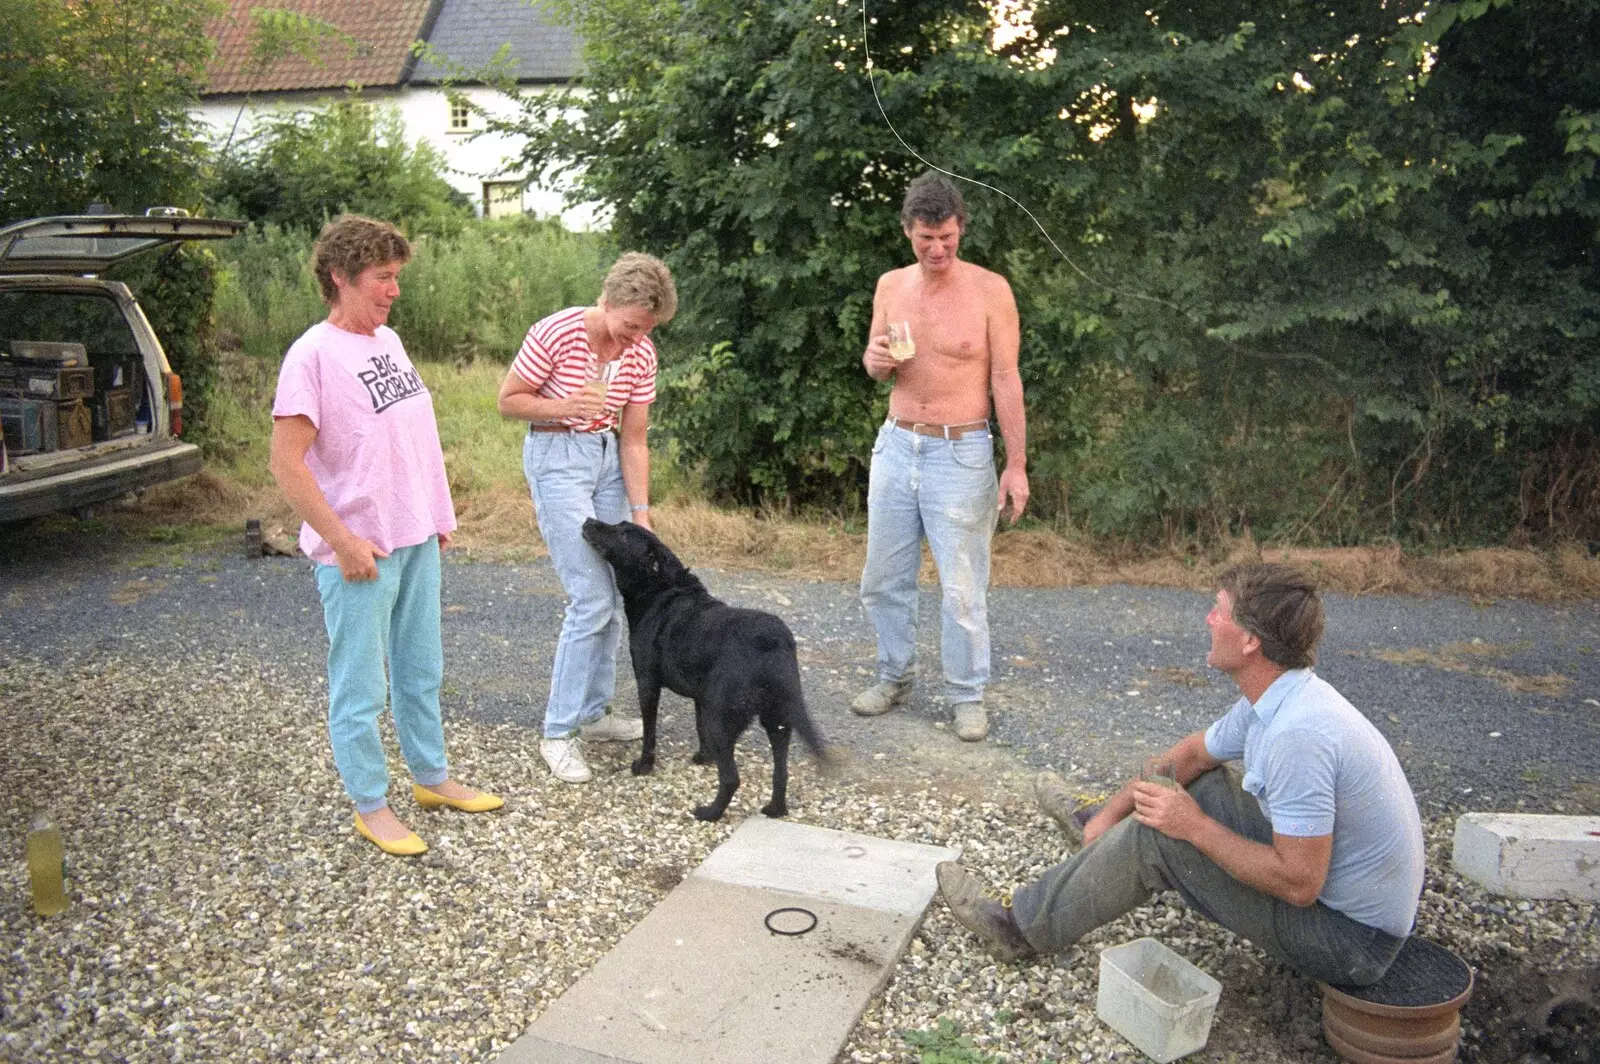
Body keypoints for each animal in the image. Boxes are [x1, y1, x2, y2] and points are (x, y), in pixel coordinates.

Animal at [579, 518, 825, 816]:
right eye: (620, 525)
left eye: (624, 534)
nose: (589, 520)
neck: (659, 589)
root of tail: (774, 642)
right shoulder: (700, 696)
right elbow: (698, 728)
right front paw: (704, 758)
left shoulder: (647, 682)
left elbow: (650, 732)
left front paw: (644, 766)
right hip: (777, 719)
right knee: (781, 772)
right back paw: (774, 809)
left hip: (721, 717)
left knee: (731, 778)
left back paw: (710, 813)